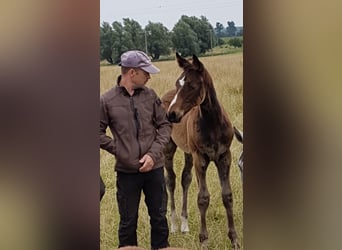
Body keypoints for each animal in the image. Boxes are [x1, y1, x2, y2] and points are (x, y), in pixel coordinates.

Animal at [162, 53, 239, 249]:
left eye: (192, 85)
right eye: (178, 83)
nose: (171, 114)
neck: (212, 124)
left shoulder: (224, 157)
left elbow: (227, 195)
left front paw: (234, 239)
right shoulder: (201, 158)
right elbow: (203, 198)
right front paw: (204, 240)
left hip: (189, 153)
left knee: (185, 179)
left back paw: (184, 224)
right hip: (169, 148)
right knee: (171, 180)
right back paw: (174, 225)